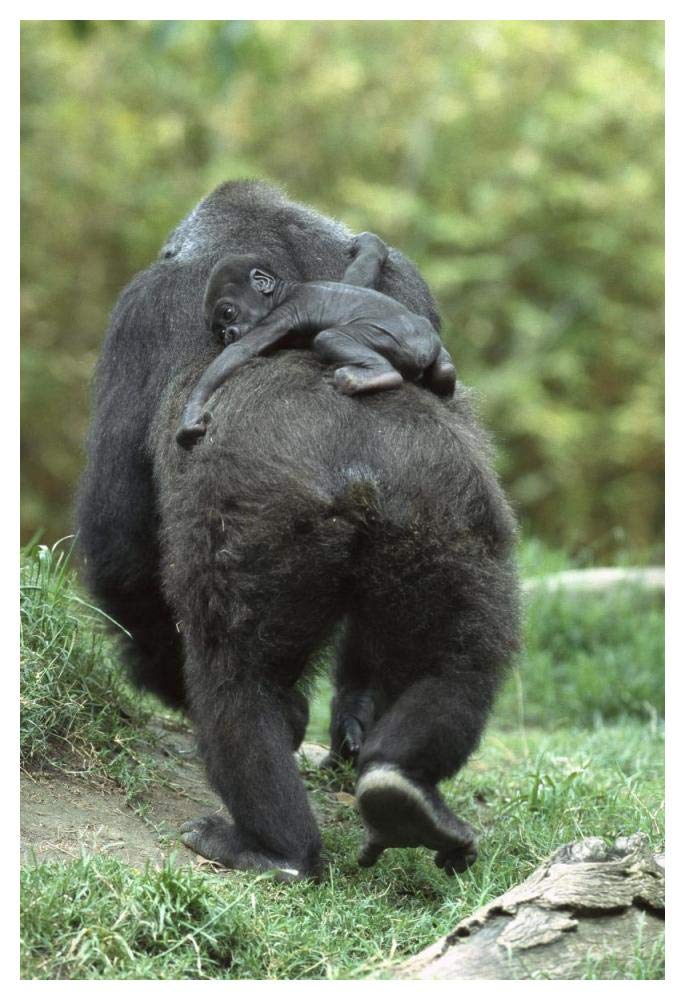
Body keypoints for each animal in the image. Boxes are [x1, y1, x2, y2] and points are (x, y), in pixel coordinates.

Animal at [176, 231, 456, 447]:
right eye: (220, 331)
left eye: (228, 313)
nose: (229, 334)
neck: (283, 291)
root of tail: (424, 346)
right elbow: (358, 276)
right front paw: (370, 246)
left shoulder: (280, 315)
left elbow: (240, 351)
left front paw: (191, 414)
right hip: (435, 348)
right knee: (444, 369)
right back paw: (443, 380)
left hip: (400, 343)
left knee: (328, 338)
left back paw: (375, 375)